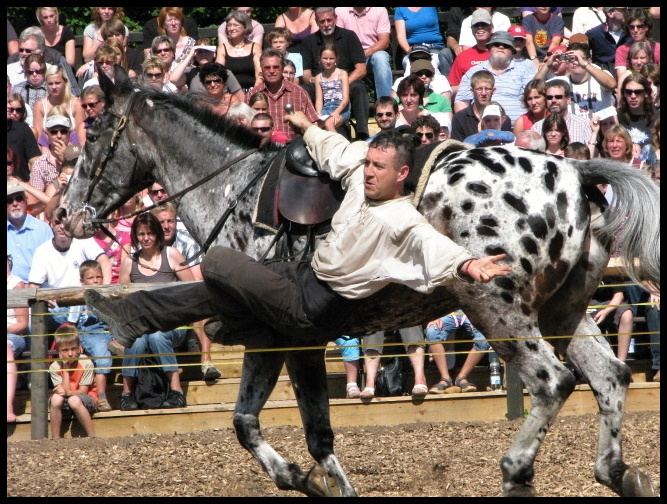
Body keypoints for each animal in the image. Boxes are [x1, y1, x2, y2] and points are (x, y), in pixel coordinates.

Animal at [56, 69, 656, 498]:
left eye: (94, 134)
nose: (65, 214)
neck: (233, 189)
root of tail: (575, 173)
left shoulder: (287, 335)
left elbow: (312, 431)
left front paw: (319, 481)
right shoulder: (271, 337)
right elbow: (247, 423)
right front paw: (301, 477)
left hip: (497, 307)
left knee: (552, 382)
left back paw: (516, 469)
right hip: (562, 311)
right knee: (611, 376)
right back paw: (617, 472)